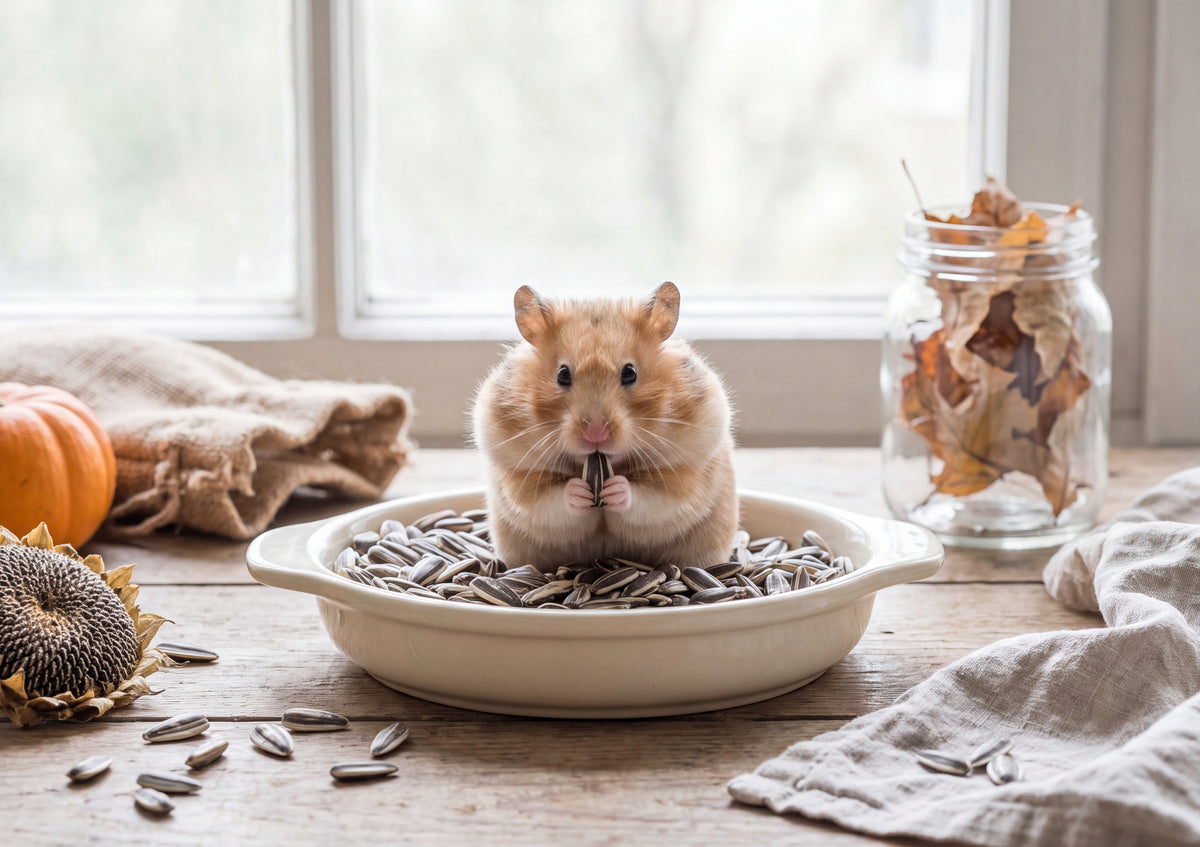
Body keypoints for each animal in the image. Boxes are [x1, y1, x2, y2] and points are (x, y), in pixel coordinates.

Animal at [471, 281, 738, 572]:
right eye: (562, 374)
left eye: (630, 373)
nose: (595, 433)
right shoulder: (520, 478)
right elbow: (549, 498)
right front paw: (579, 491)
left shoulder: (683, 474)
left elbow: (649, 496)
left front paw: (615, 489)